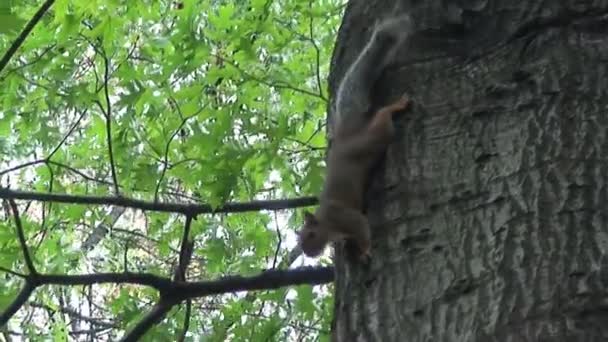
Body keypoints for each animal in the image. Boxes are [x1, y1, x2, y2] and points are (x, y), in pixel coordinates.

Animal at [298, 14, 414, 260]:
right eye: (299, 238)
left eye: (311, 234)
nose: (309, 253)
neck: (326, 221)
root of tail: (346, 134)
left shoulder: (344, 216)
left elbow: (362, 225)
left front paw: (365, 250)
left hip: (374, 137)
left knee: (383, 117)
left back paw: (397, 105)